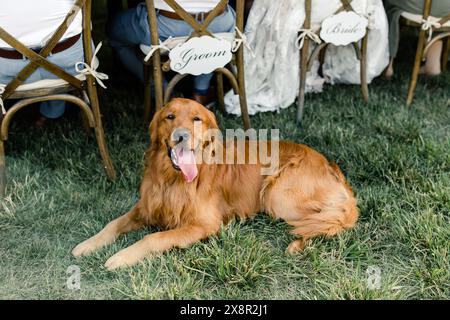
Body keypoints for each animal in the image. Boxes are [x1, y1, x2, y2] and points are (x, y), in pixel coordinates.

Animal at [72, 99, 356, 268]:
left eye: (197, 119)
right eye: (170, 116)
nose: (181, 136)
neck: (172, 179)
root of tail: (329, 165)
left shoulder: (203, 224)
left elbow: (153, 237)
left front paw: (121, 257)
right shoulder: (146, 207)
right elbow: (112, 224)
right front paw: (87, 245)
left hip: (277, 195)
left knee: (327, 221)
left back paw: (298, 243)